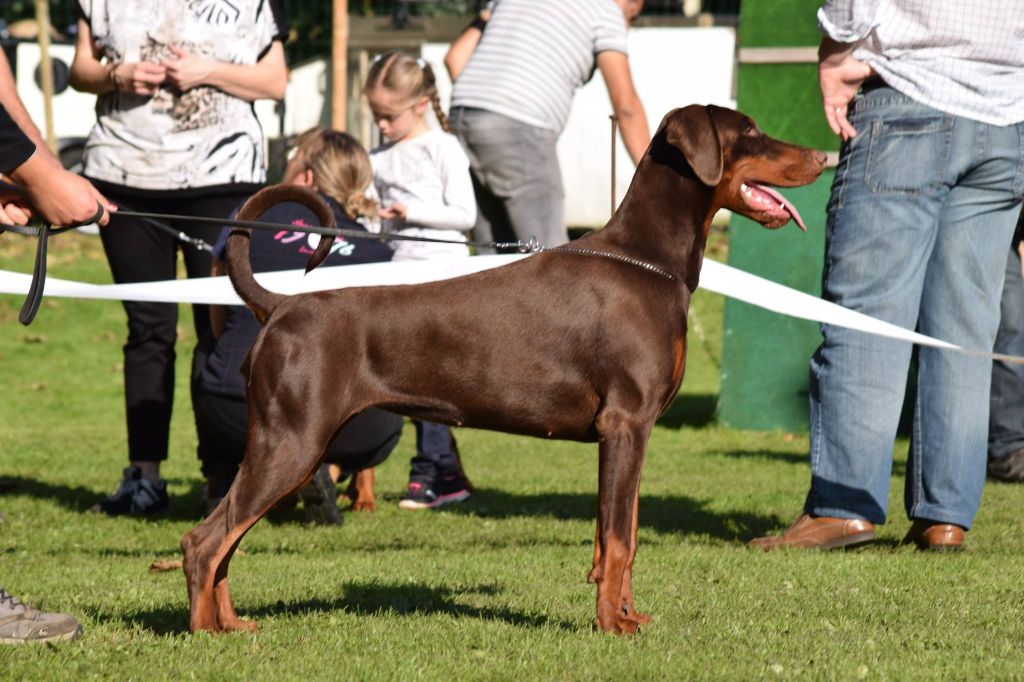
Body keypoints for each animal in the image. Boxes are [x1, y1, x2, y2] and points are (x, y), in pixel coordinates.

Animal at [182, 104, 823, 630]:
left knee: (225, 541)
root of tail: (280, 304)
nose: (821, 154)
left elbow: (622, 535)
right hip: (292, 442)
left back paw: (231, 625)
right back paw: (204, 633)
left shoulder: (630, 436)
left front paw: (628, 615)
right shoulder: (626, 424)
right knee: (204, 541)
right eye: (749, 131)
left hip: (285, 445)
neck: (647, 260)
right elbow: (618, 540)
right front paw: (610, 626)